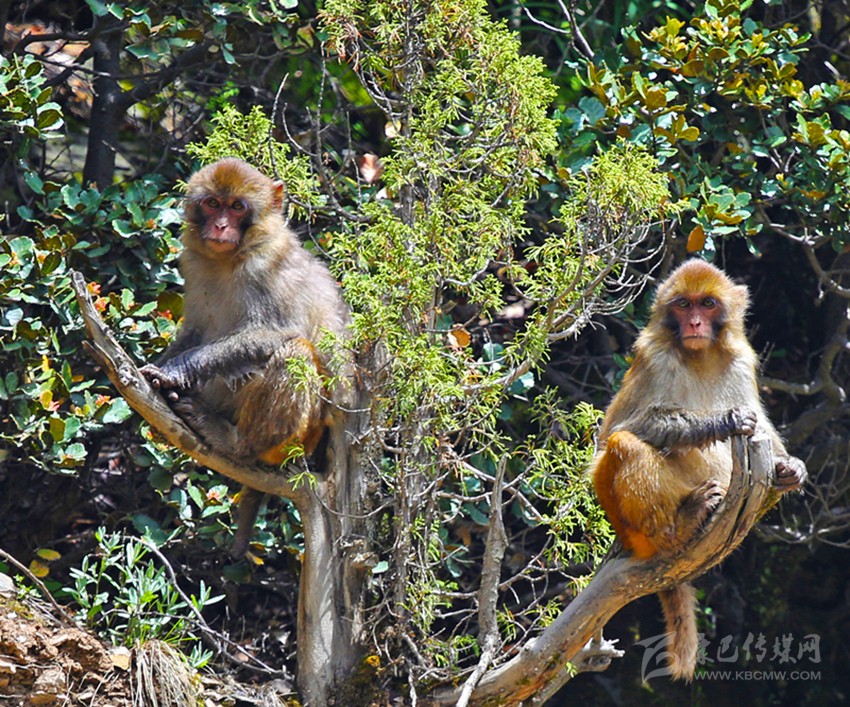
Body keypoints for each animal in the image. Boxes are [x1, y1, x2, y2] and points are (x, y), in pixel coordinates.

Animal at [140, 157, 350, 558]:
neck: (231, 258)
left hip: (301, 437)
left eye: (237, 207)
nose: (221, 226)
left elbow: (283, 332)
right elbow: (194, 331)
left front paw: (175, 370)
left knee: (296, 352)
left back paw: (236, 444)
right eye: (212, 204)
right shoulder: (192, 263)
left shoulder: (269, 267)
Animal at [591, 259, 807, 681]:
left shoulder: (741, 358)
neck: (700, 353)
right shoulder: (654, 356)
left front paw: (791, 467)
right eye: (683, 304)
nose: (693, 323)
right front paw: (723, 421)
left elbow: (763, 426)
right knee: (623, 446)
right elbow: (622, 430)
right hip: (629, 525)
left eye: (707, 304)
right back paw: (680, 525)